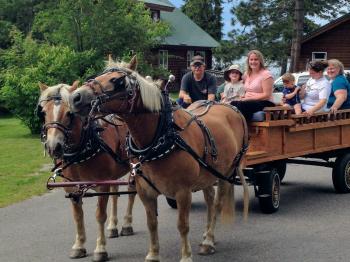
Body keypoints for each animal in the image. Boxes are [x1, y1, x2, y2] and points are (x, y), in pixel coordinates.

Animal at [38, 83, 135, 260]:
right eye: (43, 113)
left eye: (70, 113)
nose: (53, 146)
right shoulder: (72, 189)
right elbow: (77, 216)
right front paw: (79, 246)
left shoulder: (102, 186)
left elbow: (100, 215)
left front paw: (100, 249)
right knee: (115, 192)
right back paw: (113, 226)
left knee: (132, 191)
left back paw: (126, 224)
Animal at [68, 57, 249, 262]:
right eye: (99, 75)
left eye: (118, 81)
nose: (75, 98)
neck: (161, 137)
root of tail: (229, 107)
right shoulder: (145, 191)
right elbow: (152, 223)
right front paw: (153, 254)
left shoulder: (183, 192)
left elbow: (182, 225)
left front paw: (186, 256)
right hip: (207, 174)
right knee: (210, 199)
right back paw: (206, 236)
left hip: (226, 173)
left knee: (217, 204)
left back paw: (209, 240)